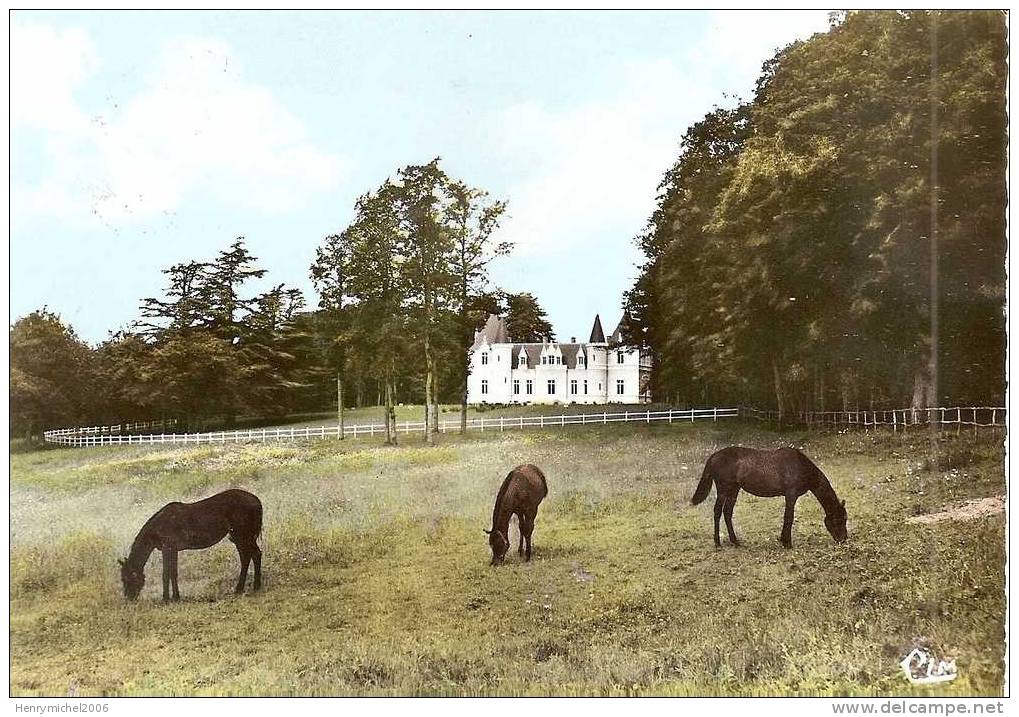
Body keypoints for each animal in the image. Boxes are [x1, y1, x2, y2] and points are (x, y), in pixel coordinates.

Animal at [118, 486, 262, 598]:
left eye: (127, 578)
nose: (129, 598)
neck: (159, 526)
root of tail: (256, 500)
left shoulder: (167, 548)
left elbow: (166, 573)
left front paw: (166, 598)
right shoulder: (173, 549)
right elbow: (173, 573)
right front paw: (176, 597)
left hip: (243, 536)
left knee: (253, 555)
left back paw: (250, 587)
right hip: (239, 537)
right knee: (248, 557)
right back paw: (246, 587)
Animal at [688, 448, 847, 549]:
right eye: (839, 519)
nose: (843, 539)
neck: (800, 467)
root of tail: (714, 456)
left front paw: (783, 540)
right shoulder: (791, 495)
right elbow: (788, 517)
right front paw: (787, 543)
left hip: (734, 490)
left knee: (727, 512)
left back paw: (735, 541)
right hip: (723, 490)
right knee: (717, 512)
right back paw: (717, 543)